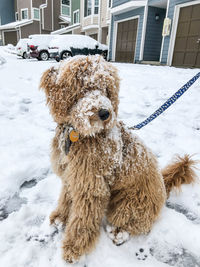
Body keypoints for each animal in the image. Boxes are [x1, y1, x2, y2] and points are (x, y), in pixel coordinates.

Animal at [39, 54, 197, 264]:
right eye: (85, 86)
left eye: (106, 89)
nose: (105, 113)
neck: (78, 134)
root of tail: (163, 185)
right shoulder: (70, 175)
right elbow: (66, 198)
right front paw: (59, 218)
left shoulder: (91, 184)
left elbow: (83, 218)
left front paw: (74, 247)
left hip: (131, 203)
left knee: (135, 222)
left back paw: (118, 232)